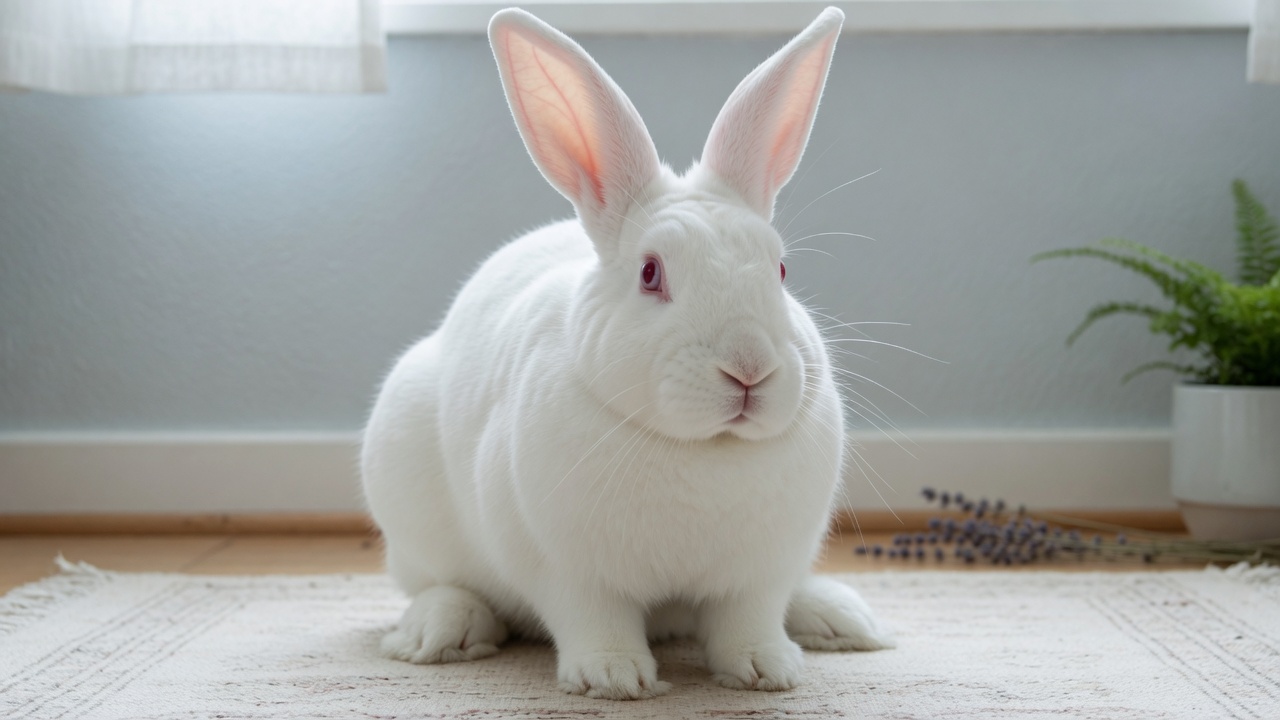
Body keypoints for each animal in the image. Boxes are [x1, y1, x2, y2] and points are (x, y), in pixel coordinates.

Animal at [362, 5, 894, 700]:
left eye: (780, 270)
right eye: (650, 274)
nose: (749, 369)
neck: (704, 451)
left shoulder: (760, 573)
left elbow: (747, 620)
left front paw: (767, 670)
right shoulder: (567, 570)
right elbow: (593, 618)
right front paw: (614, 679)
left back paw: (839, 619)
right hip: (406, 493)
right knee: (439, 583)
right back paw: (440, 632)